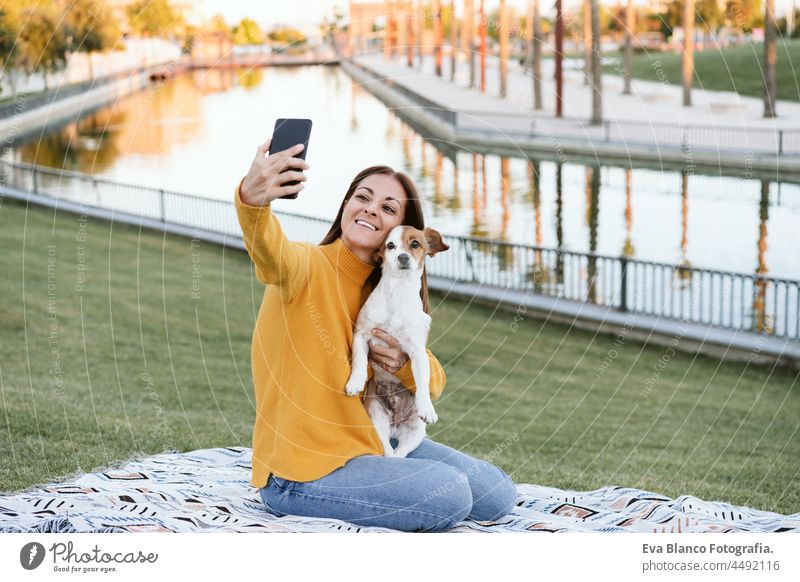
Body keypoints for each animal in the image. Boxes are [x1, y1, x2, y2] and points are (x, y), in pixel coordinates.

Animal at [346, 226, 450, 458]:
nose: (403, 257)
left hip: (416, 431)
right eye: (390, 245)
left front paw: (427, 407)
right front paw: (355, 382)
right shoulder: (362, 335)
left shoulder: (417, 353)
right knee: (387, 451)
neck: (397, 292)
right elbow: (359, 362)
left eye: (415, 244)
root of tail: (395, 425)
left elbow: (422, 381)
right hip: (376, 420)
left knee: (399, 455)